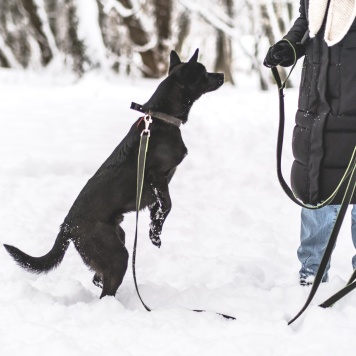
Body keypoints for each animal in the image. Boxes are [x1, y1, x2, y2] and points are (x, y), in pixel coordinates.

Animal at [4, 48, 224, 298]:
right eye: (204, 72)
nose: (222, 75)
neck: (162, 117)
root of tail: (67, 225)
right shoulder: (157, 177)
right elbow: (167, 205)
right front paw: (155, 233)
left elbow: (159, 208)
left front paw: (153, 229)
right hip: (116, 254)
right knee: (106, 288)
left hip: (115, 240)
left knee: (98, 277)